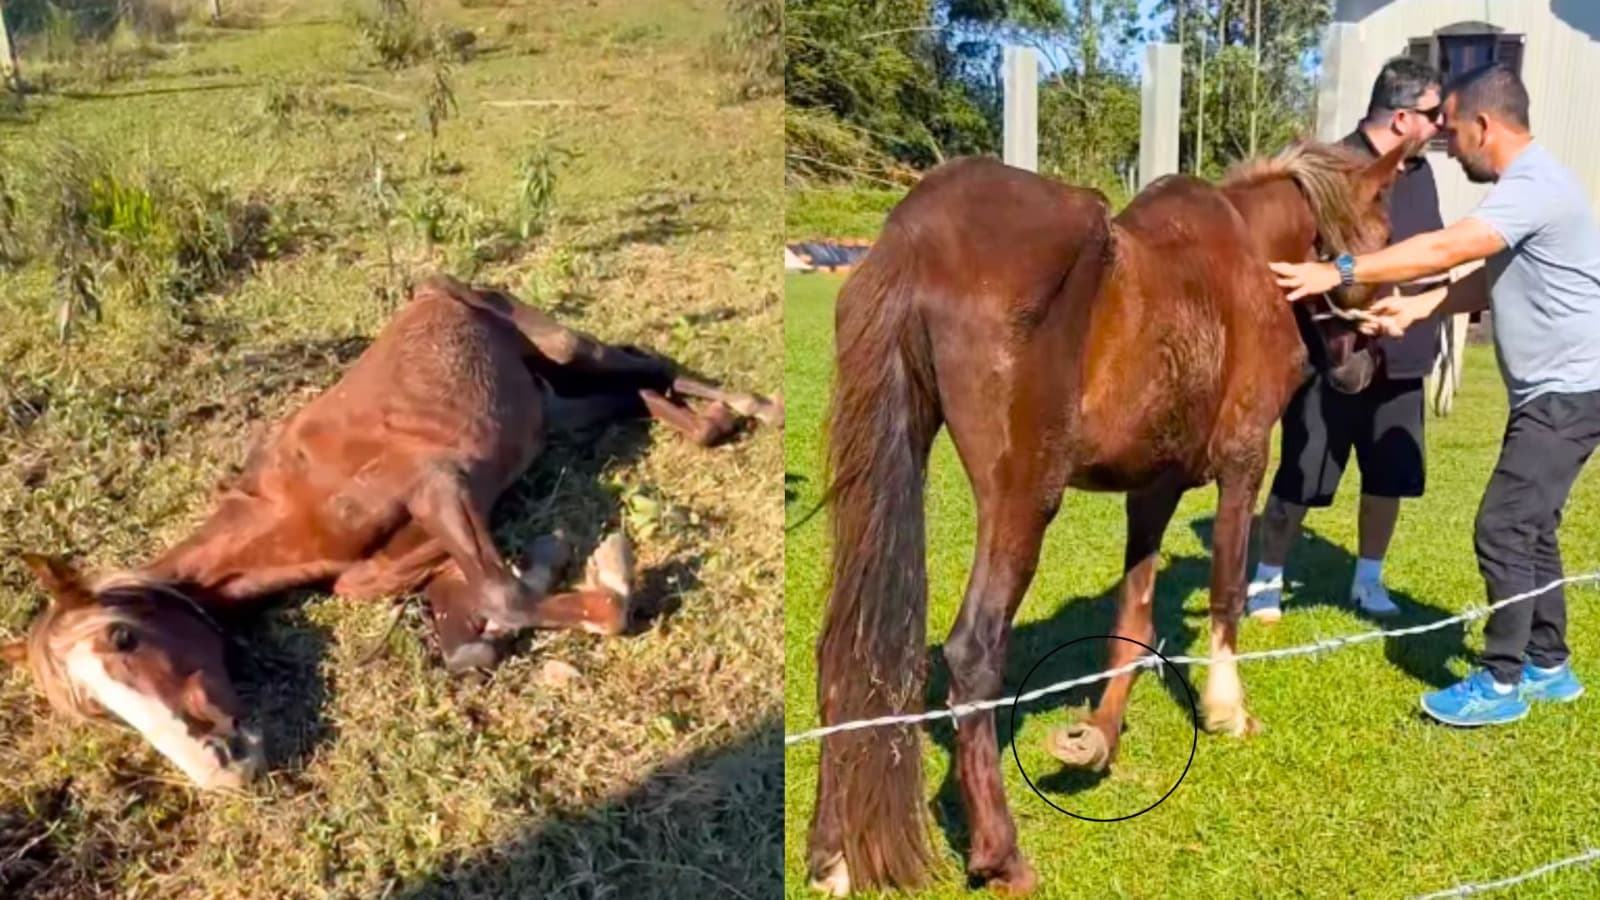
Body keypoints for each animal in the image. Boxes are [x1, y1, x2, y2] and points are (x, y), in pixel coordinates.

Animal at [1, 273, 782, 791]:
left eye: (123, 637)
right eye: (98, 718)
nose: (222, 770)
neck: (290, 509)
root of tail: (440, 285)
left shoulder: (440, 486)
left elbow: (503, 593)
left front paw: (609, 569)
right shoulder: (420, 544)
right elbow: (459, 619)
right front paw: (541, 569)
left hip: (566, 347)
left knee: (650, 361)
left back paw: (752, 405)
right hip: (554, 407)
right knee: (640, 394)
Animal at [806, 136, 1414, 895]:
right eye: (1384, 241)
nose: (1366, 370)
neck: (1254, 255)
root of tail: (913, 235)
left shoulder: (1152, 488)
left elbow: (1134, 616)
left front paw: (1098, 737)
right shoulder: (1244, 461)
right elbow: (1225, 591)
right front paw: (1226, 709)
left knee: (846, 652)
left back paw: (833, 858)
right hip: (1024, 500)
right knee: (973, 653)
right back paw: (1001, 853)